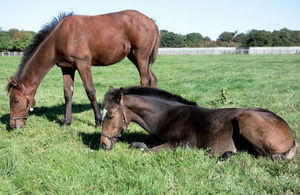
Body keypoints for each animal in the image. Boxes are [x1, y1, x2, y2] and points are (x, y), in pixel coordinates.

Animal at [6, 10, 159, 129]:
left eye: (16, 100)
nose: (13, 125)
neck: (61, 36)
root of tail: (151, 22)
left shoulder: (83, 63)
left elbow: (90, 91)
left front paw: (98, 121)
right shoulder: (67, 68)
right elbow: (67, 93)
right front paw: (66, 122)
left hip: (141, 56)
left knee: (145, 81)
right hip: (134, 56)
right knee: (152, 79)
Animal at [99, 85, 296, 160]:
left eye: (110, 116)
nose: (103, 144)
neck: (168, 116)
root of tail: (291, 134)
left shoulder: (183, 144)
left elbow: (148, 151)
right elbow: (139, 145)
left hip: (245, 120)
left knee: (261, 156)